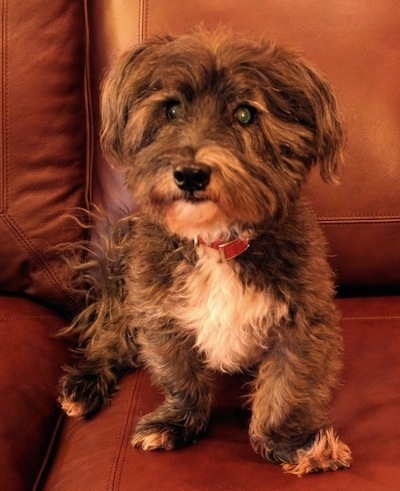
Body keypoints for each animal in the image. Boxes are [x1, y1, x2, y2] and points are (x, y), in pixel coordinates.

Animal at [57, 29, 352, 476]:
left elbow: (286, 387)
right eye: (172, 109)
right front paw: (178, 423)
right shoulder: (159, 315)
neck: (217, 243)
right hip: (121, 292)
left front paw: (293, 443)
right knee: (108, 341)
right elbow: (180, 376)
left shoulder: (304, 319)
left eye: (245, 114)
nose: (190, 175)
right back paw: (84, 384)